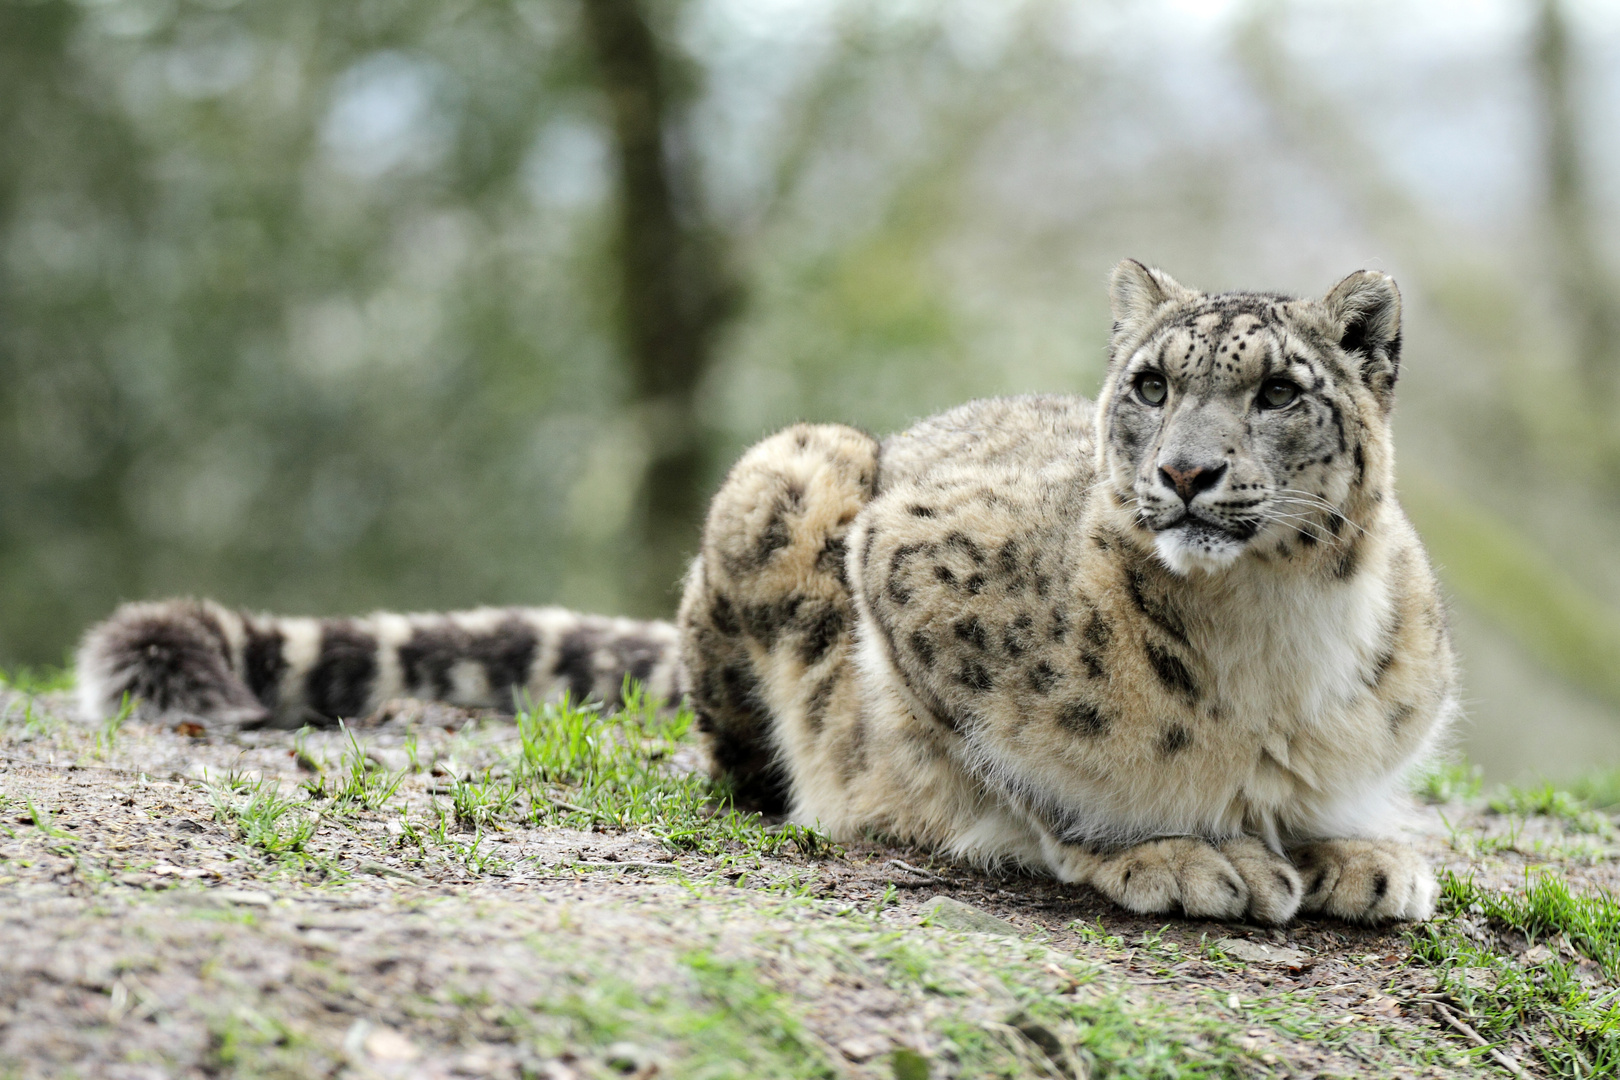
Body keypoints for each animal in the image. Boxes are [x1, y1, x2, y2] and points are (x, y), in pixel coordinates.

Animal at [76, 263, 1458, 932]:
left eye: (1278, 389)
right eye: (1153, 383)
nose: (1185, 473)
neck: (1269, 638)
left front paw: (1361, 852)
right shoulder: (910, 581)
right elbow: (1024, 769)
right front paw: (1181, 853)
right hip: (788, 475)